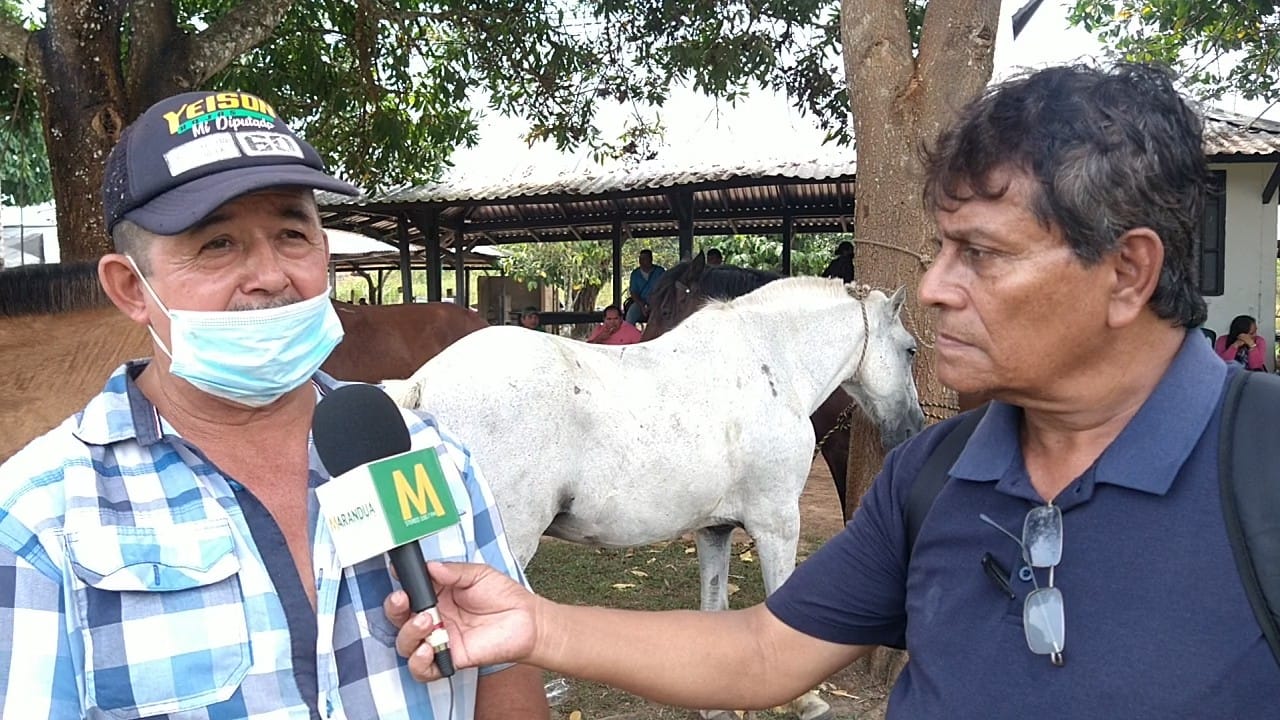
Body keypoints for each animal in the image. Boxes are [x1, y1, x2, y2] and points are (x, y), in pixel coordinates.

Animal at [378, 275, 921, 717]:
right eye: (911, 350)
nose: (912, 429)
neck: (768, 364)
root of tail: (420, 384)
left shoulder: (715, 529)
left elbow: (714, 606)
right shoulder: (777, 525)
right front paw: (807, 701)